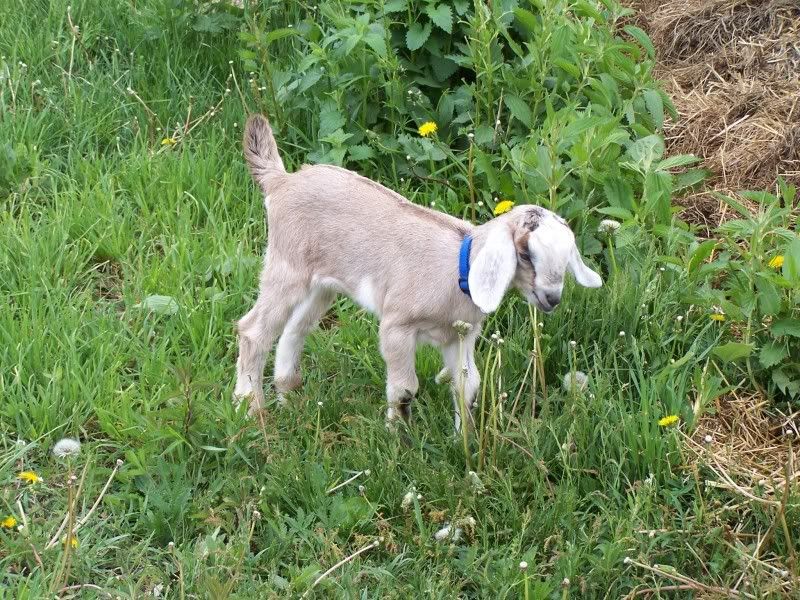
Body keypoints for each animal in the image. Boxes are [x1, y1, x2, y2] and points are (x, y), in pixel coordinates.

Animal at [233, 114, 602, 430]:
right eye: (525, 254)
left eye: (566, 258)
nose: (552, 298)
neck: (459, 270)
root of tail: (281, 181)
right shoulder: (396, 326)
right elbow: (404, 389)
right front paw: (397, 439)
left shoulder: (460, 336)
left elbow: (468, 386)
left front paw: (463, 442)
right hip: (286, 265)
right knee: (253, 330)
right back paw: (250, 408)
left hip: (323, 283)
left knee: (294, 328)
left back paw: (288, 396)